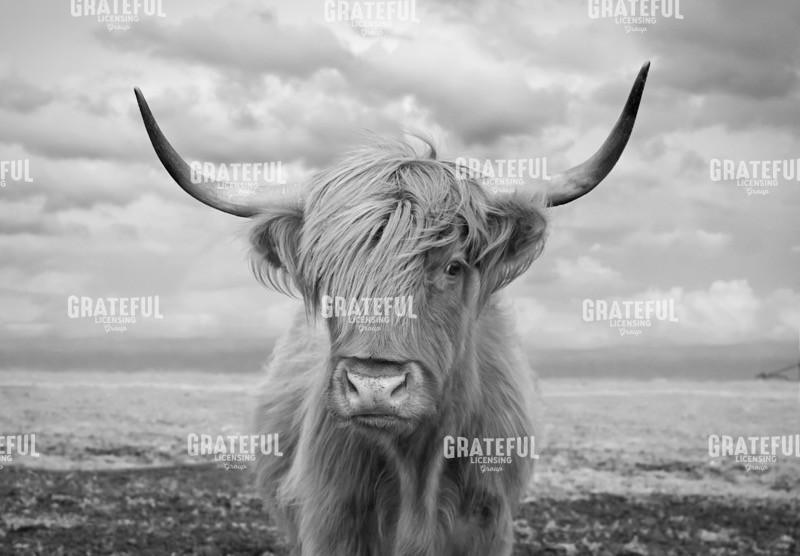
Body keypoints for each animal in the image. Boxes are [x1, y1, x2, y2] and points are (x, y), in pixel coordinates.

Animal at [134, 61, 649, 556]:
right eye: (327, 277)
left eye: (453, 266)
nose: (374, 387)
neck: (416, 472)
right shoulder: (330, 525)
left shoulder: (489, 525)